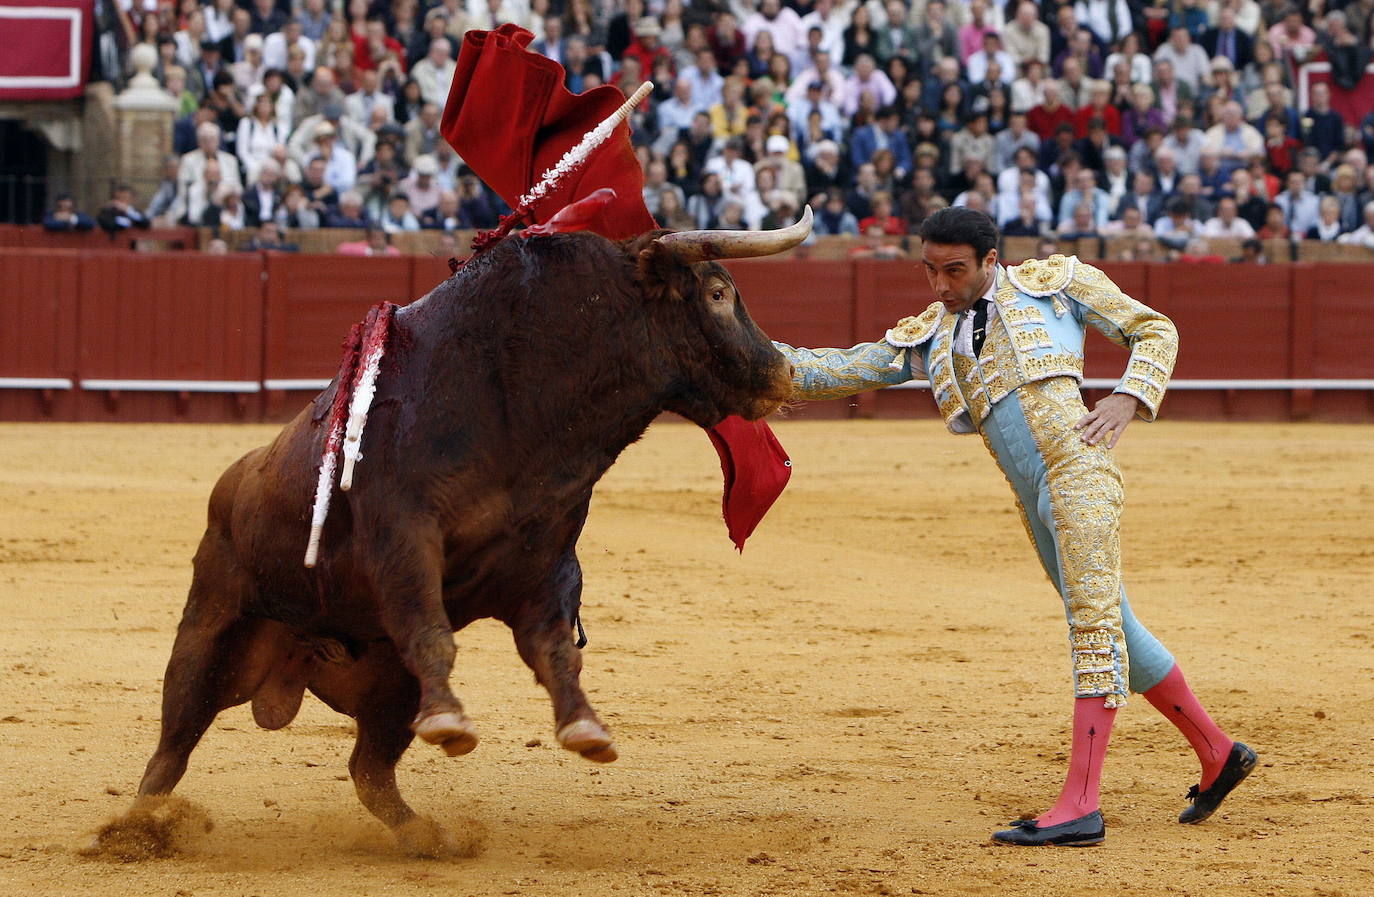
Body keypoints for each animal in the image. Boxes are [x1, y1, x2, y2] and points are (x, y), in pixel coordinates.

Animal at [115, 211, 813, 851]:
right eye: (718, 293)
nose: (784, 372)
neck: (525, 412)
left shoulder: (547, 563)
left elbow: (554, 651)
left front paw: (585, 730)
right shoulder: (405, 538)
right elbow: (431, 630)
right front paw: (454, 720)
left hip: (391, 690)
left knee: (368, 769)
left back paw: (428, 837)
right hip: (209, 635)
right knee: (172, 746)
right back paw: (133, 831)